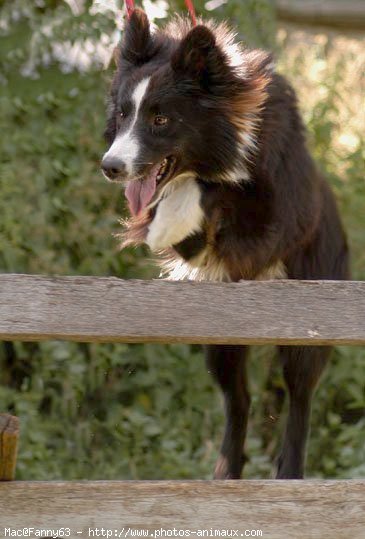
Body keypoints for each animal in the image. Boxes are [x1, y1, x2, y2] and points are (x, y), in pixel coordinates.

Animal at [101, 8, 348, 480]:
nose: (111, 166)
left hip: (311, 304)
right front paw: (168, 223)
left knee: (299, 394)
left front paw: (175, 215)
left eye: (161, 119)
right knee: (240, 399)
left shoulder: (277, 212)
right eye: (123, 115)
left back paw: (289, 474)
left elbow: (221, 192)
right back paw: (225, 476)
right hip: (221, 336)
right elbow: (188, 217)